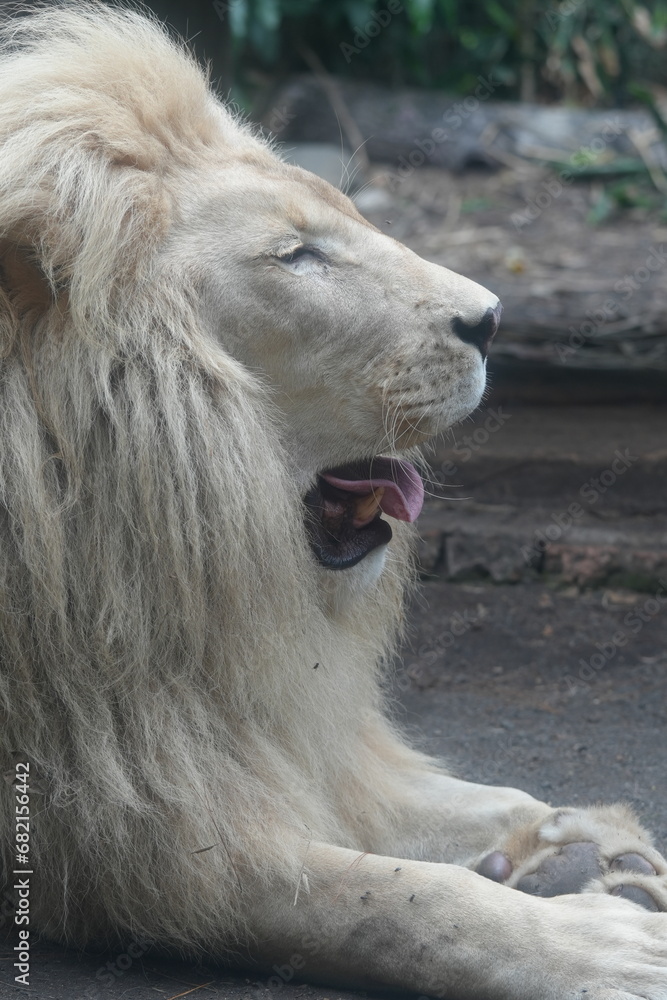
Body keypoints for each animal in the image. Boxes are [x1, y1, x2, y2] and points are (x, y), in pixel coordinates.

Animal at [0, 5, 665, 998]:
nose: (492, 319)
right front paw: (600, 947)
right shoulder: (130, 833)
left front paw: (584, 852)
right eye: (297, 256)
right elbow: (394, 902)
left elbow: (461, 799)